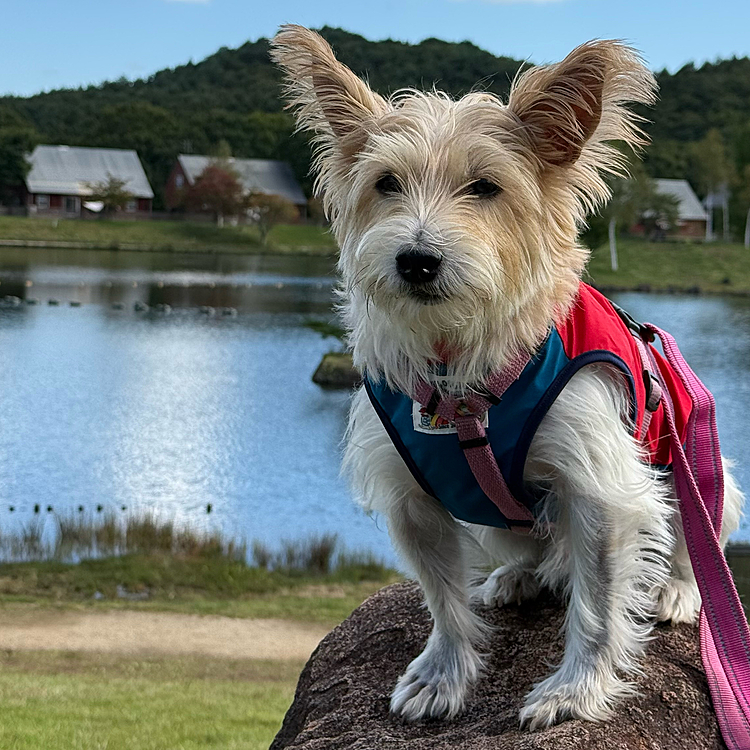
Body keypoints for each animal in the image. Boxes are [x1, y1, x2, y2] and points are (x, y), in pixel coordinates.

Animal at [270, 26, 748, 732]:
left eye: (485, 187)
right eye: (386, 182)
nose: (416, 260)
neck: (459, 376)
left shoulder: (602, 486)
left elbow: (600, 607)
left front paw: (575, 691)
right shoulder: (411, 499)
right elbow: (442, 598)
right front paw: (443, 674)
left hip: (699, 470)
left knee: (695, 537)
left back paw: (677, 590)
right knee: (534, 556)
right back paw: (520, 578)